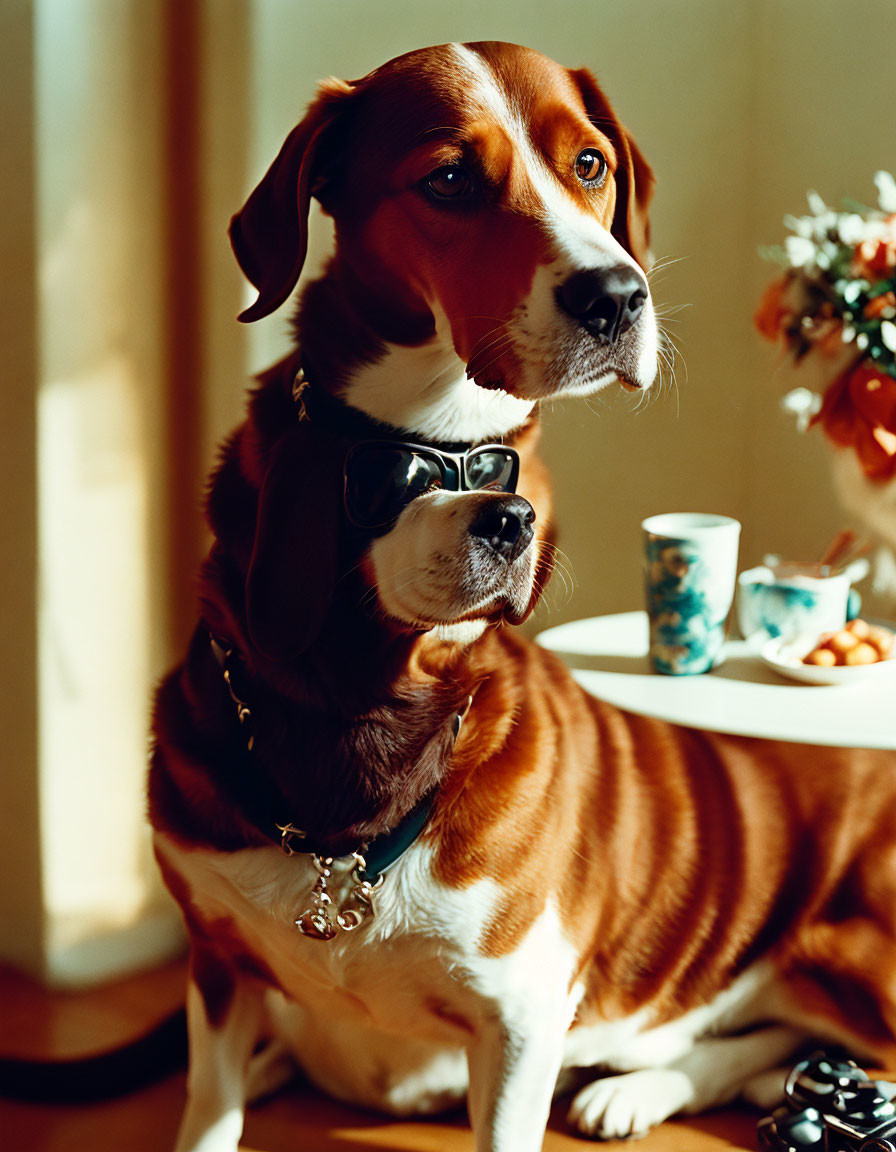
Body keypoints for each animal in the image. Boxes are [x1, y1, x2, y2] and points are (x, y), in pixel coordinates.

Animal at [148, 36, 893, 1152]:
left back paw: (651, 1086)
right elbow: (207, 1112)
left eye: (589, 166)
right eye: (450, 178)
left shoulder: (519, 1020)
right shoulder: (218, 962)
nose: (616, 295)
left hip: (860, 965)